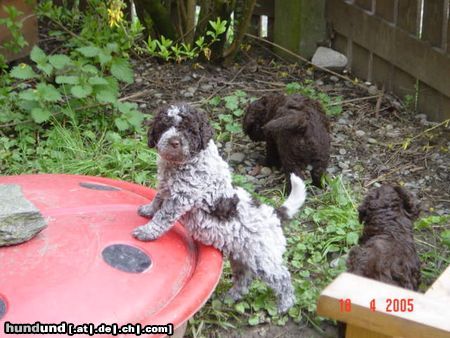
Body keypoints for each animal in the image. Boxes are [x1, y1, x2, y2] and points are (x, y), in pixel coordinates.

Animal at [131, 102, 306, 312]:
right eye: (165, 126)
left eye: (190, 131)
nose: (174, 142)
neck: (182, 163)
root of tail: (274, 213)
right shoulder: (165, 187)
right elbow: (158, 199)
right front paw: (148, 210)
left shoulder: (181, 197)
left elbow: (163, 216)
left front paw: (147, 232)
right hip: (242, 256)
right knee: (244, 279)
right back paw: (231, 297)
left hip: (263, 257)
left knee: (282, 278)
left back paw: (284, 305)